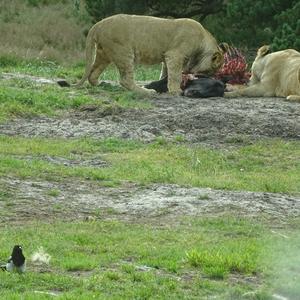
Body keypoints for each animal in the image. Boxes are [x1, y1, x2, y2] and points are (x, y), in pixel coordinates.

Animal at [74, 13, 225, 94]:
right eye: (212, 70)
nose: (212, 77)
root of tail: (98, 24)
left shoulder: (167, 57)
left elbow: (165, 74)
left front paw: (165, 86)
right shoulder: (175, 55)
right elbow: (175, 75)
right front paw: (176, 91)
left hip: (103, 54)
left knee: (93, 74)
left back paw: (104, 84)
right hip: (124, 53)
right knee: (125, 80)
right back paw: (146, 92)